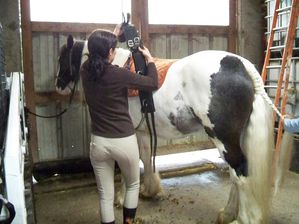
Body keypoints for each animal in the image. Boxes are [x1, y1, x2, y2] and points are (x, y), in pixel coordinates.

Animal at [55, 34, 294, 223]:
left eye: (62, 59)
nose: (58, 86)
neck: (114, 65)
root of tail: (241, 65)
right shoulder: (142, 132)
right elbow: (145, 159)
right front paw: (150, 190)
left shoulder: (129, 133)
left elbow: (127, 167)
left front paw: (122, 198)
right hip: (238, 138)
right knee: (237, 176)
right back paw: (227, 214)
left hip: (224, 140)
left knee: (240, 175)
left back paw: (240, 218)